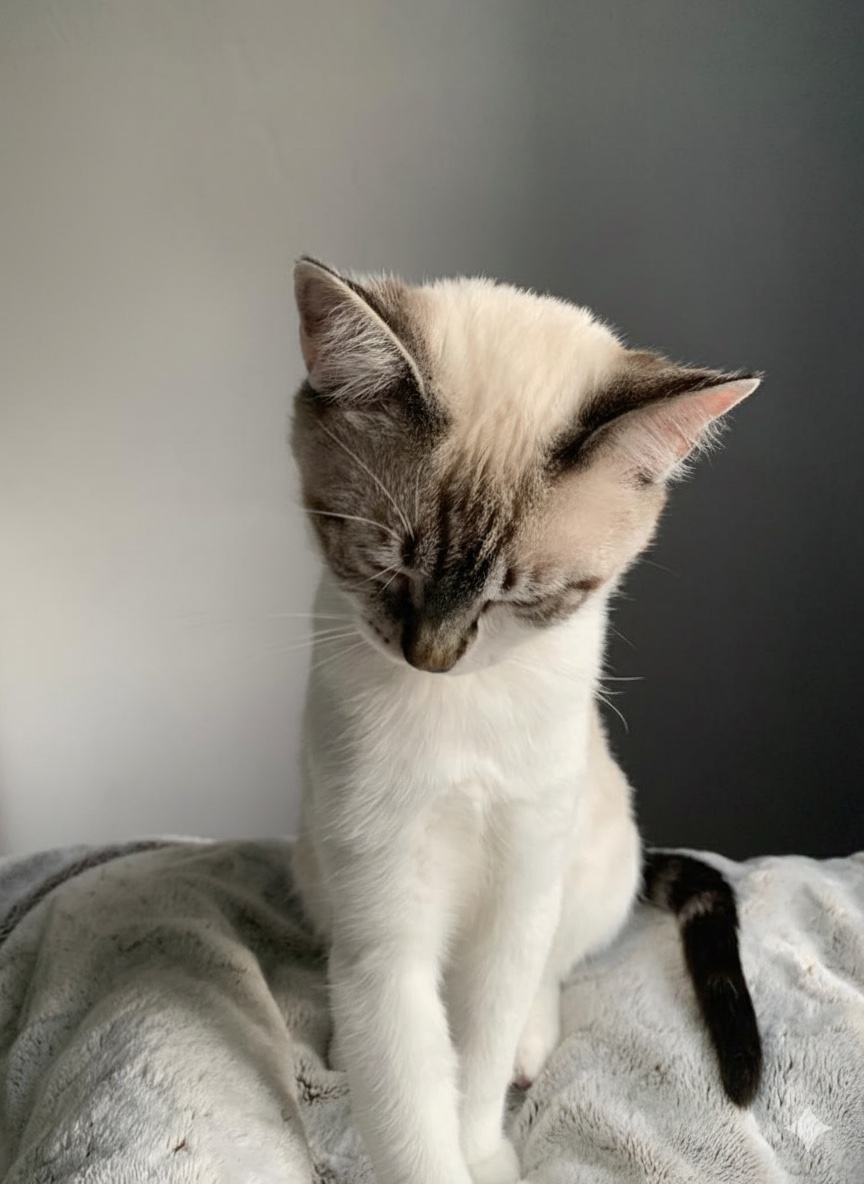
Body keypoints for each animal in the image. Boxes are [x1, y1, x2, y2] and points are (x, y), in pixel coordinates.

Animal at [289, 257, 762, 1184]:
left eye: (519, 597)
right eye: (385, 565)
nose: (431, 656)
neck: (461, 711)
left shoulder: (522, 876)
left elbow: (479, 1048)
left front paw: (487, 1153)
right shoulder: (385, 919)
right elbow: (409, 1100)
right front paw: (435, 1147)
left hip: (593, 855)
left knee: (552, 969)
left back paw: (531, 1047)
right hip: (317, 868)